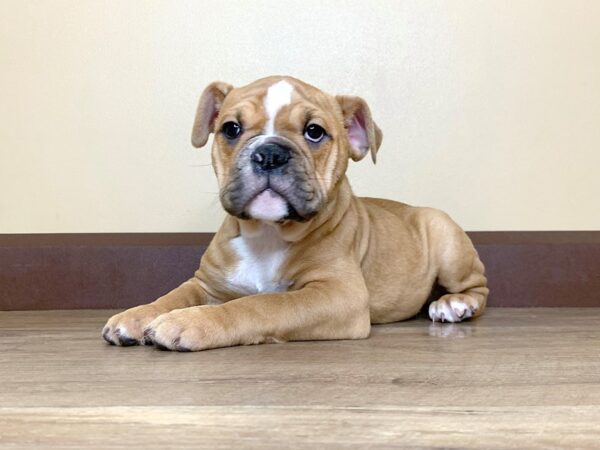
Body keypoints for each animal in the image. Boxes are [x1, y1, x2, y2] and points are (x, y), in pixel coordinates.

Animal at [102, 76, 488, 352]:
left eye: (314, 132)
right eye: (231, 129)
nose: (270, 153)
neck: (267, 234)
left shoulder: (338, 294)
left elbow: (261, 305)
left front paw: (189, 322)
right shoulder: (206, 283)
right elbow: (174, 295)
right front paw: (137, 315)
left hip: (448, 242)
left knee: (477, 286)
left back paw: (453, 305)